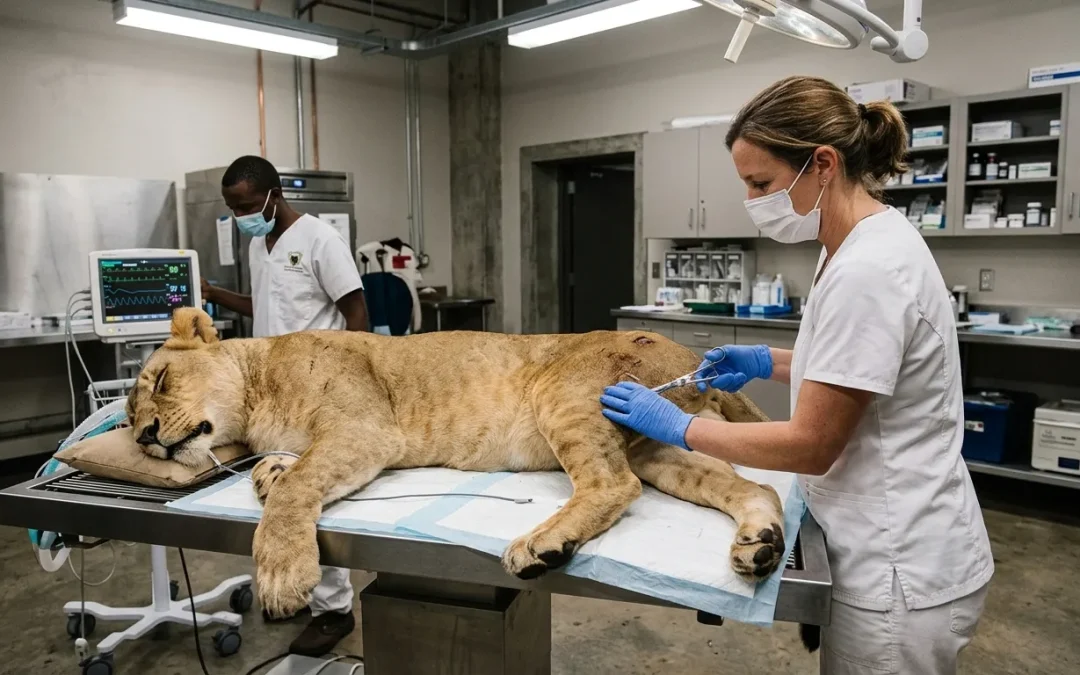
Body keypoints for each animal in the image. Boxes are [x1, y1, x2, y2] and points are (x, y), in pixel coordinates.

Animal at [126, 308, 786, 618]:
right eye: (130, 422)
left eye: (158, 380)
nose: (149, 437)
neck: (258, 391)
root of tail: (698, 358)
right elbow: (279, 474)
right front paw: (268, 474)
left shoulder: (365, 432)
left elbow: (294, 491)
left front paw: (282, 578)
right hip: (657, 443)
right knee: (754, 488)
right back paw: (761, 545)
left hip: (567, 394)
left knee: (612, 484)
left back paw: (542, 545)